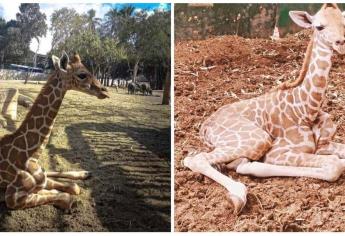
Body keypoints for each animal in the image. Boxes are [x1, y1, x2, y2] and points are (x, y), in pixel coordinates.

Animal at [0, 52, 109, 210]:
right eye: (82, 75)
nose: (105, 91)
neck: (31, 156)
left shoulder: (40, 181)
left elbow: (72, 187)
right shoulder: (12, 197)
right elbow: (66, 196)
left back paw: (85, 173)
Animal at [183, 3, 345, 214]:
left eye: (344, 23)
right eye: (319, 26)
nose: (340, 43)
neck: (306, 108)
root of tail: (204, 127)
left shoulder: (324, 144)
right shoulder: (278, 152)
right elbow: (335, 165)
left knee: (195, 158)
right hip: (258, 139)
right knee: (197, 159)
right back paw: (237, 195)